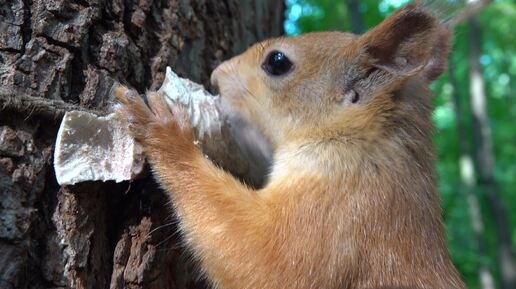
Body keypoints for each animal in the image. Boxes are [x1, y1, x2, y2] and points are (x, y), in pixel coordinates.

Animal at [116, 2, 468, 288]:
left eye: (278, 61)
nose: (216, 76)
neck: (365, 146)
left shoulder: (342, 209)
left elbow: (265, 261)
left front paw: (165, 133)